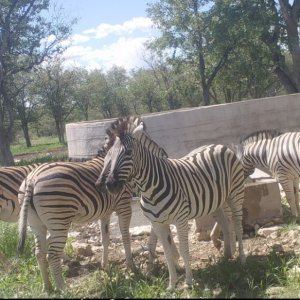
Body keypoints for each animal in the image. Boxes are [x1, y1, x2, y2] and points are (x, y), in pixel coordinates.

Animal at [96, 118, 246, 290]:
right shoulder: (157, 223)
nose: (109, 185)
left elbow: (183, 249)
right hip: (215, 200)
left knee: (237, 224)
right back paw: (227, 254)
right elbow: (165, 251)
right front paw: (171, 283)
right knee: (224, 221)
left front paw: (188, 281)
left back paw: (242, 259)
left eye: (128, 153)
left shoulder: (180, 220)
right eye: (108, 155)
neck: (150, 189)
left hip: (235, 194)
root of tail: (218, 145)